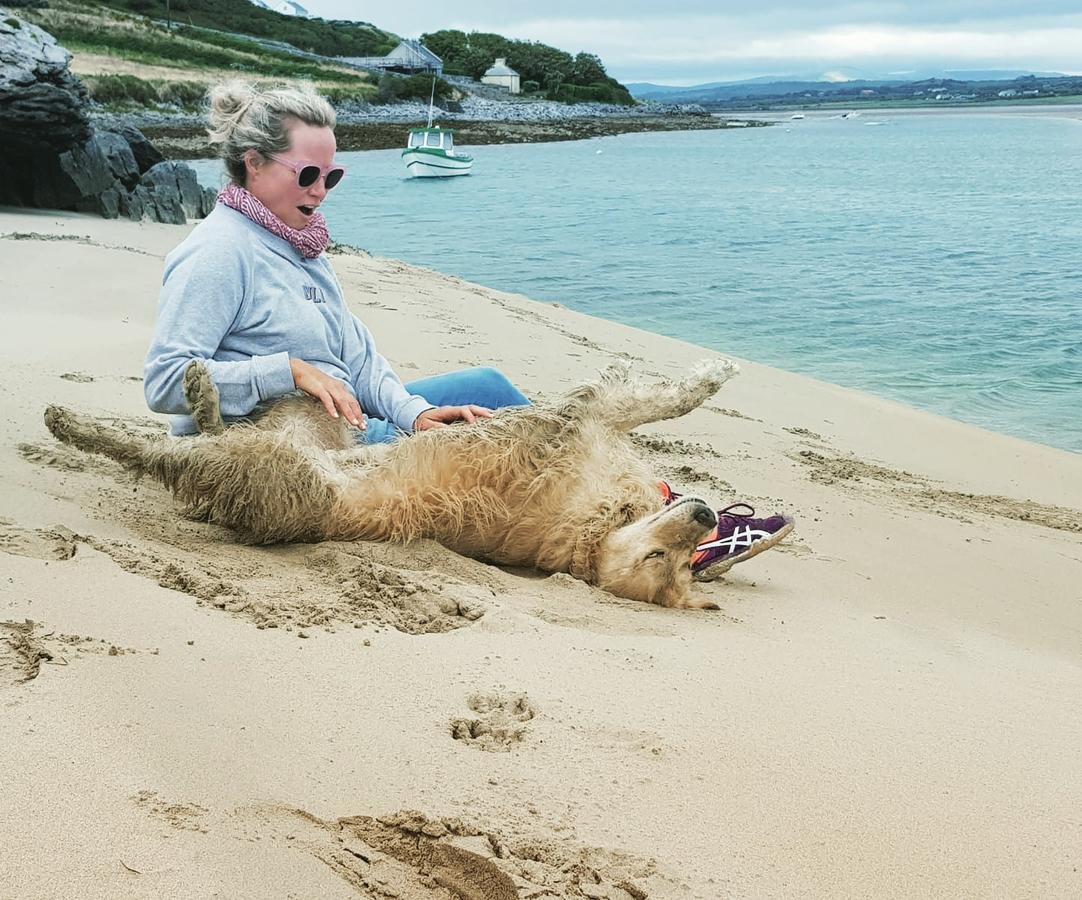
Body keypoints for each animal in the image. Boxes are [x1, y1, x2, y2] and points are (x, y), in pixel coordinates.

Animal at [40, 354, 735, 610]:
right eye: (663, 557)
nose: (706, 517)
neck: (592, 522)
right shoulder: (587, 418)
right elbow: (659, 399)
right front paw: (714, 373)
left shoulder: (579, 414)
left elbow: (647, 394)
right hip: (309, 426)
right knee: (209, 427)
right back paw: (197, 387)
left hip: (262, 463)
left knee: (161, 451)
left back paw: (71, 420)